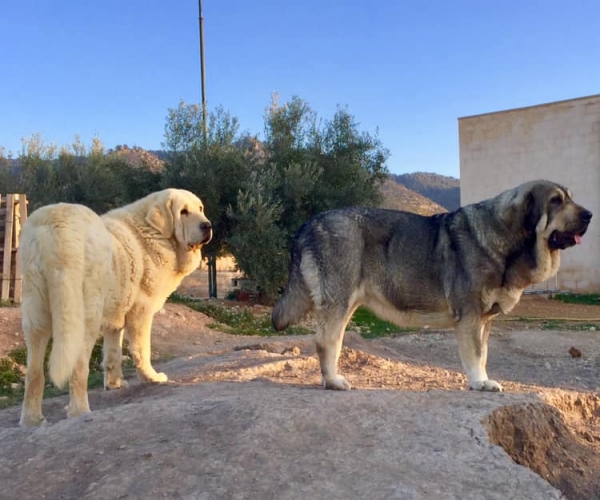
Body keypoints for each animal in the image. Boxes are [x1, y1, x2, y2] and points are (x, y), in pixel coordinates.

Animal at [19, 188, 213, 426]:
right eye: (183, 212)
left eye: (200, 209)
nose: (207, 225)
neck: (155, 233)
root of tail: (58, 224)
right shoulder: (141, 310)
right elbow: (142, 349)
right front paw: (152, 377)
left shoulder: (117, 311)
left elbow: (113, 351)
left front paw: (114, 384)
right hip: (86, 313)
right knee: (78, 366)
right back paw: (80, 412)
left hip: (35, 309)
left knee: (34, 371)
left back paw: (32, 420)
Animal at [274, 179, 592, 390]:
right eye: (556, 201)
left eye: (570, 198)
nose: (589, 214)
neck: (506, 237)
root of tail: (309, 224)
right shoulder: (469, 316)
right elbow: (475, 354)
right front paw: (480, 383)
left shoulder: (484, 321)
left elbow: (484, 355)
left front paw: (483, 379)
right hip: (338, 301)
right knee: (325, 342)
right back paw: (333, 381)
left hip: (347, 304)